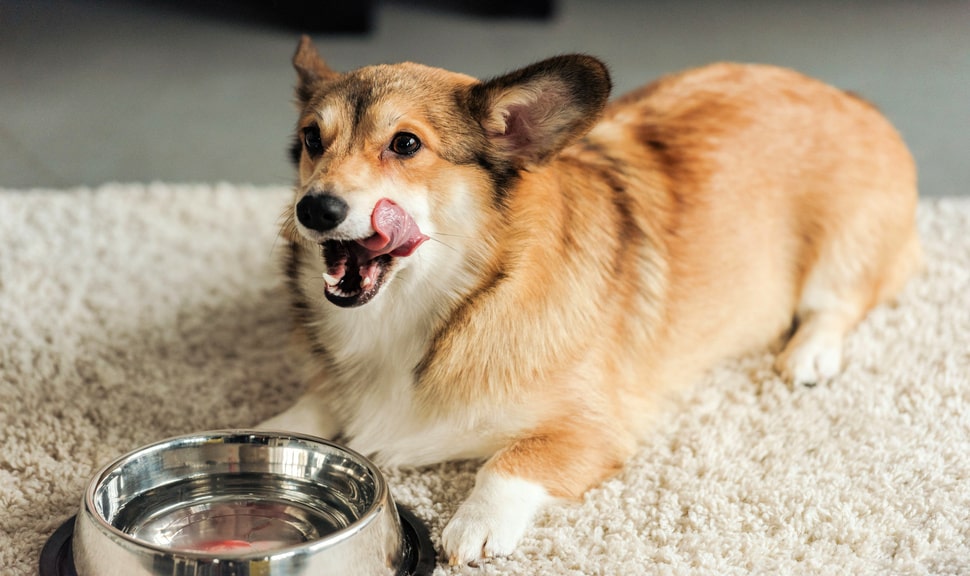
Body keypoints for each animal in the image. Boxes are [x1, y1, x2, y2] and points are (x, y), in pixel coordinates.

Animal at [260, 37, 924, 568]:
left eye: (404, 144)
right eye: (312, 139)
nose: (314, 209)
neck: (445, 302)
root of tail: (848, 97)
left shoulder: (593, 429)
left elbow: (508, 462)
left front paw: (476, 524)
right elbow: (310, 409)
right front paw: (268, 430)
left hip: (843, 248)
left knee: (839, 303)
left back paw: (810, 355)